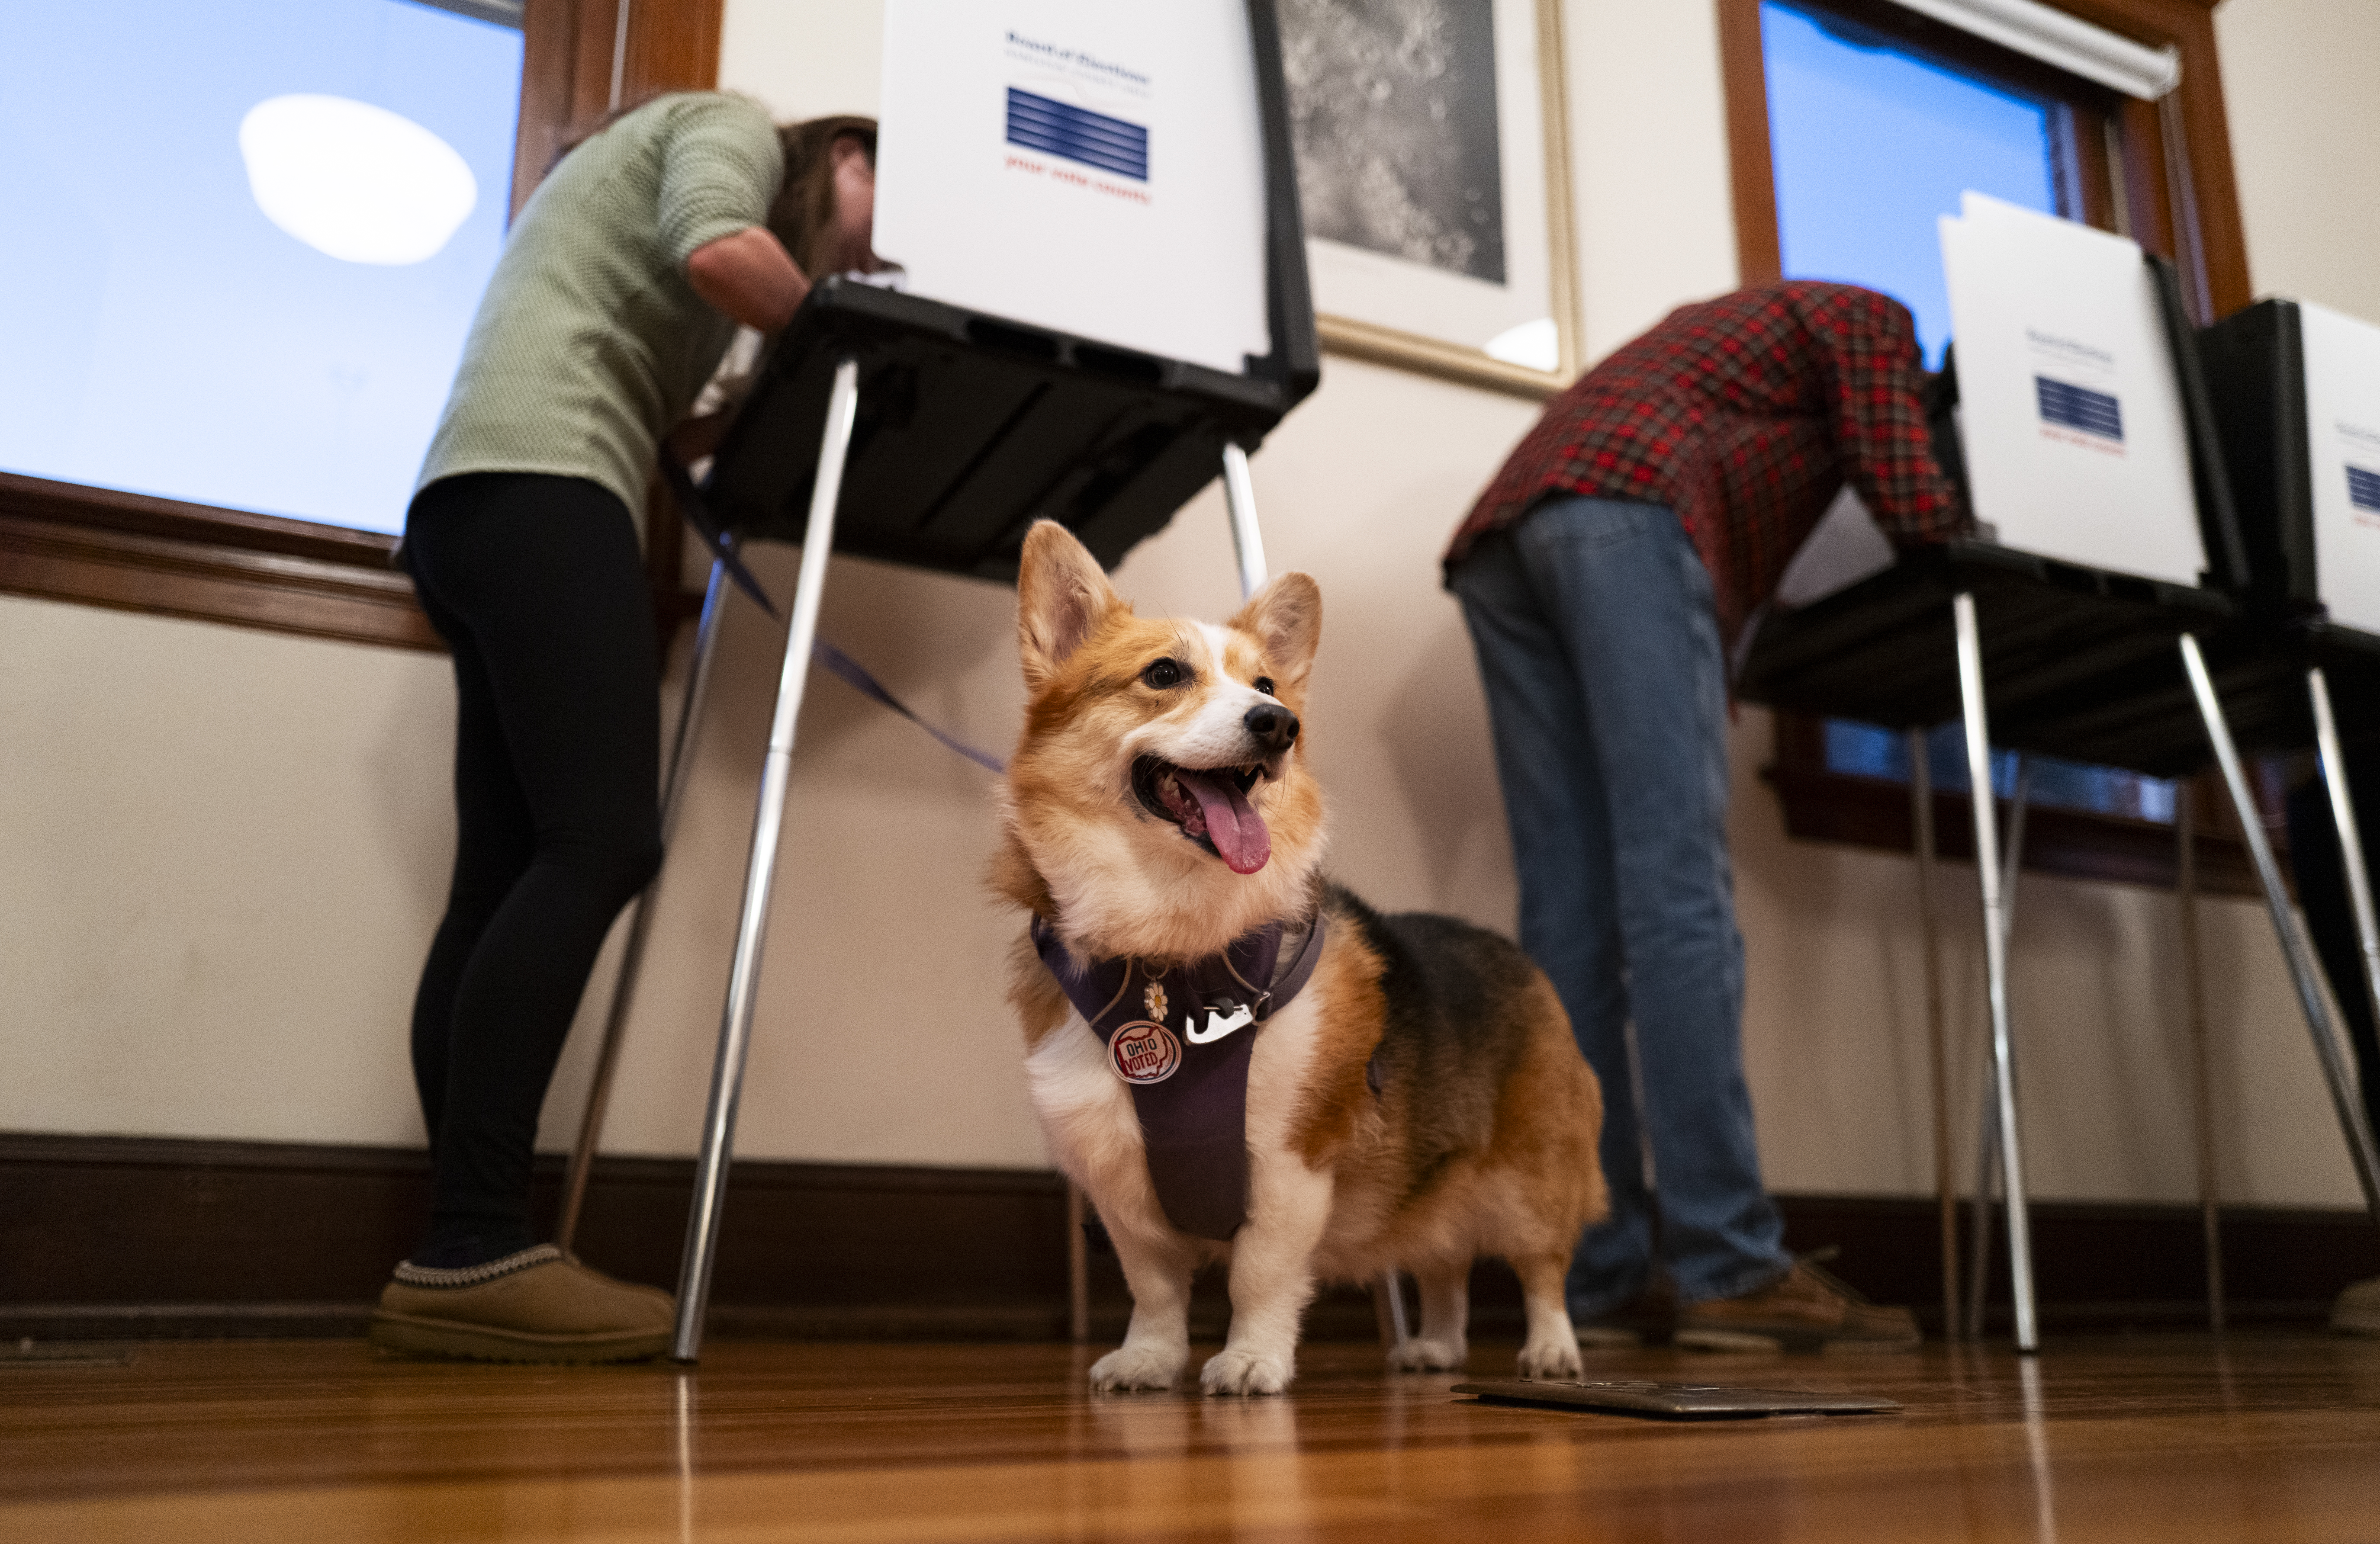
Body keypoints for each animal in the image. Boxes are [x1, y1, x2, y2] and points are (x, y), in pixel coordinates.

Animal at [995, 521, 1609, 1399]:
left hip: (1531, 1176)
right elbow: (1155, 1289)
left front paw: (1252, 1360)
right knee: (1444, 1264)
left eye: (1267, 683)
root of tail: (1514, 952)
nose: (1277, 722)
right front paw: (1149, 1360)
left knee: (1541, 1269)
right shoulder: (1121, 1182)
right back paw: (1435, 1347)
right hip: (1430, 1180)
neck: (1173, 945)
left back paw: (1553, 1351)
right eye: (1164, 674)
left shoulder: (1289, 1167)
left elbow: (1260, 1276)